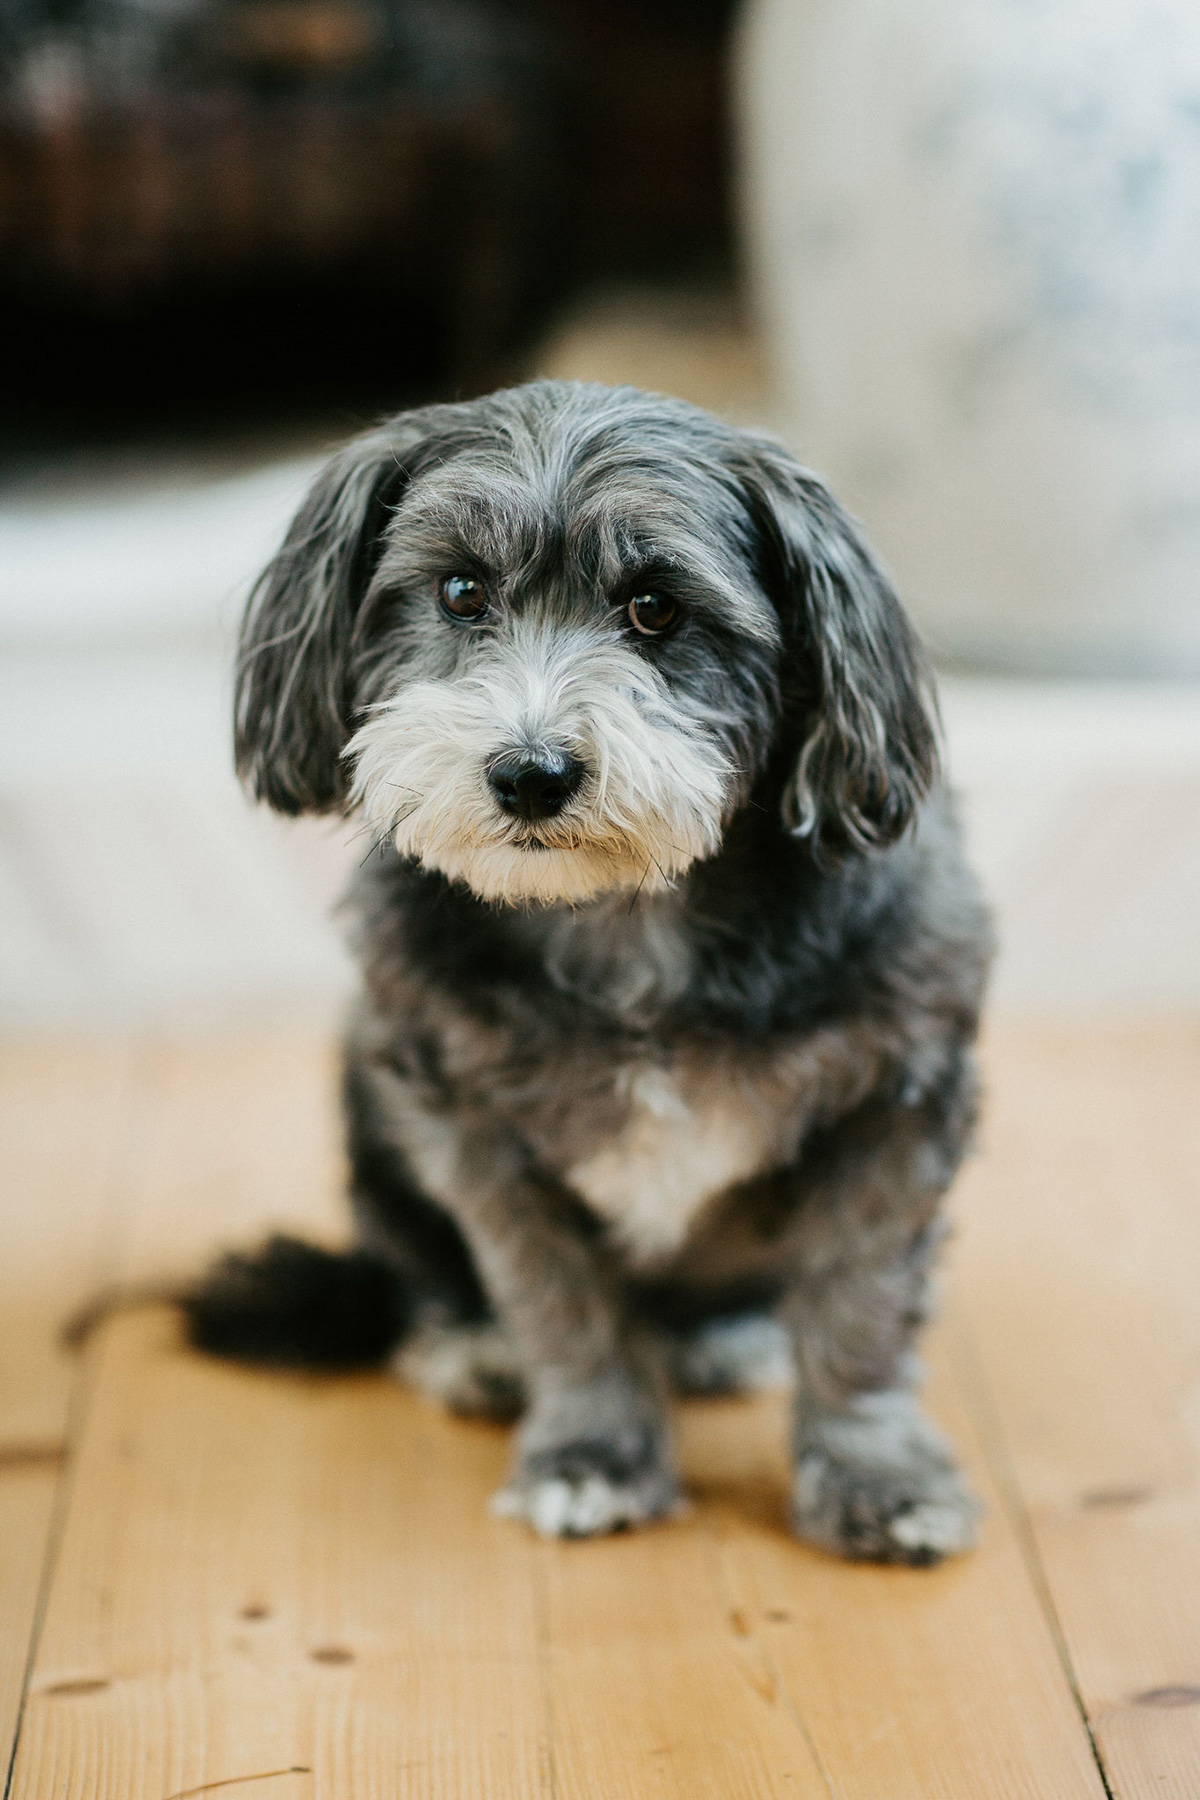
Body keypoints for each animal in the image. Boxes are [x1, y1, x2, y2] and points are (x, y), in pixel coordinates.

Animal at [189, 376, 993, 1562]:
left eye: (656, 609)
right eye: (461, 591)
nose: (530, 772)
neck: (622, 918)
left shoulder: (896, 1106)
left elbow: (861, 1307)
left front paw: (876, 1474)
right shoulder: (473, 1129)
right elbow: (559, 1307)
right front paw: (590, 1454)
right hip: (368, 1094)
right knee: (420, 1270)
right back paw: (473, 1348)